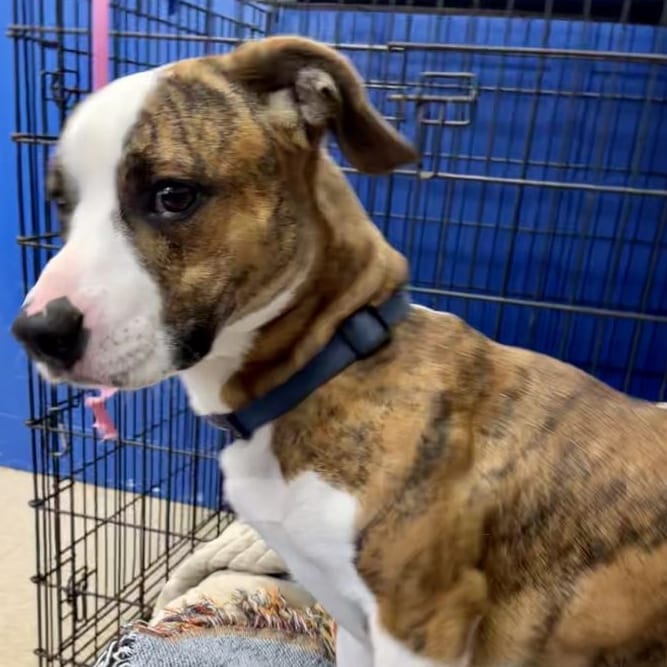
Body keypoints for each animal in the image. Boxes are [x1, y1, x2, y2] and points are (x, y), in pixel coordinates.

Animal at [10, 36, 667, 667]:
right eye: (62, 203)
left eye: (173, 195)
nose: (36, 331)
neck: (331, 364)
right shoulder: (353, 624)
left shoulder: (421, 626)